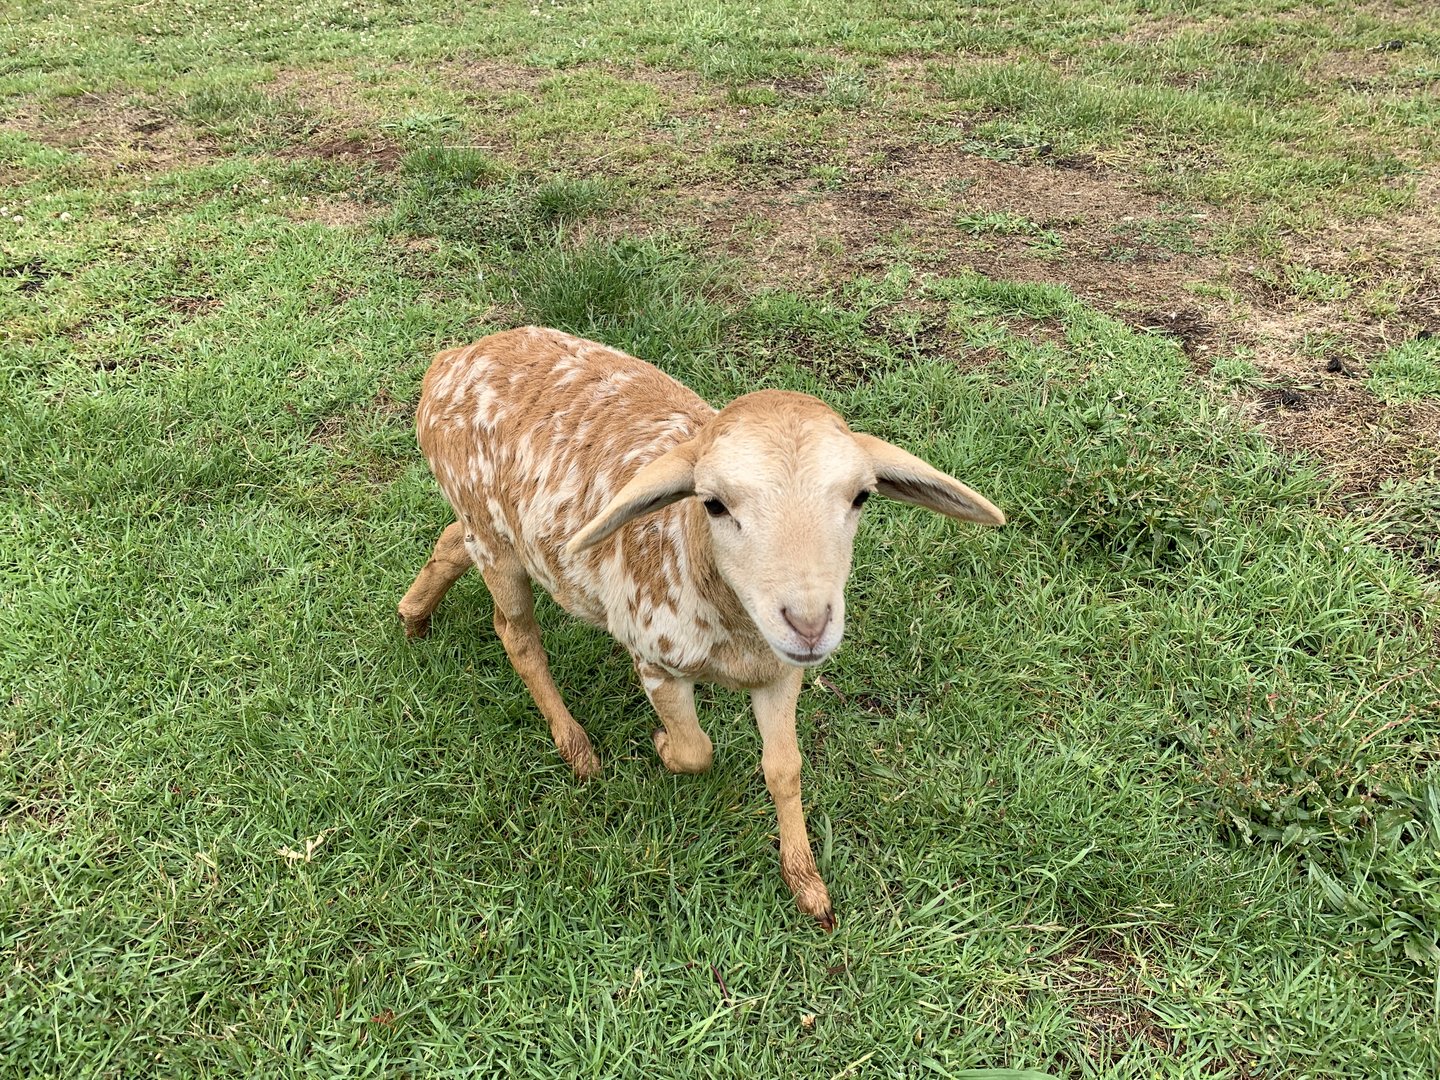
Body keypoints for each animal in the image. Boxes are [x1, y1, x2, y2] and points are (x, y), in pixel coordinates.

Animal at [398, 326, 1005, 927]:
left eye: (861, 496)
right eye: (713, 504)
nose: (809, 624)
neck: (733, 631)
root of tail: (452, 361)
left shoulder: (781, 673)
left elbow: (785, 769)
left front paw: (807, 884)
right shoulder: (654, 659)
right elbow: (697, 750)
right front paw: (663, 745)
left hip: (488, 530)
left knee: (450, 541)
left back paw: (412, 615)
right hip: (495, 543)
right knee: (515, 633)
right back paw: (575, 746)